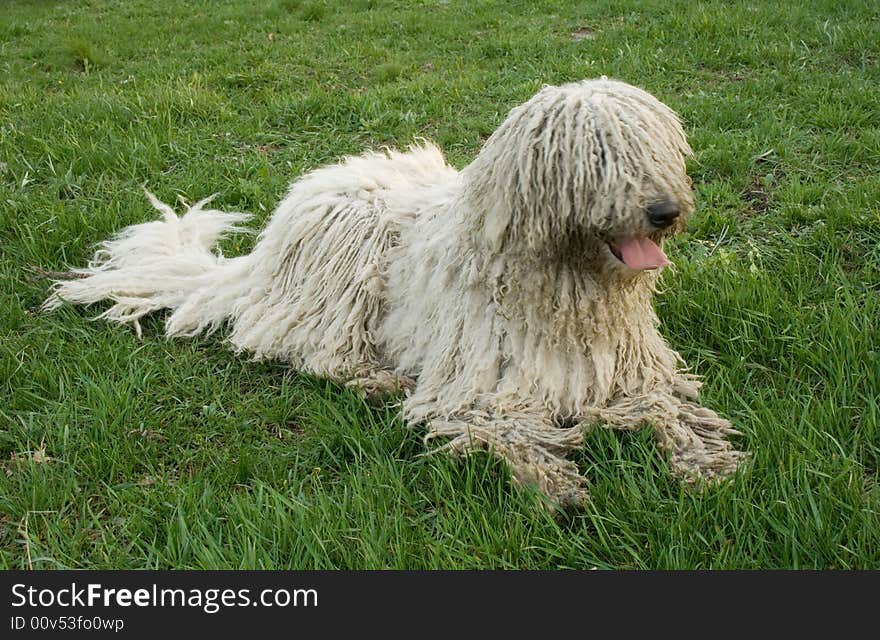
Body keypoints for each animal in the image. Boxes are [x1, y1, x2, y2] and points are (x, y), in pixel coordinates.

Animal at [46, 77, 748, 508]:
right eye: (597, 156)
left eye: (657, 148)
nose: (664, 211)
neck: (567, 285)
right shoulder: (475, 386)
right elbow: (499, 425)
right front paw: (553, 481)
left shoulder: (633, 373)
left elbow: (669, 408)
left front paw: (707, 462)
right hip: (347, 260)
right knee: (310, 351)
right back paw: (375, 378)